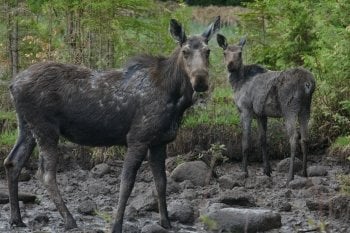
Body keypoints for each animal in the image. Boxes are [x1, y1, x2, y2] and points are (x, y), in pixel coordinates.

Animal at [3, 17, 219, 232]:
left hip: (26, 127)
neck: (176, 99)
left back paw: (16, 218)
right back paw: (69, 220)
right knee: (46, 174)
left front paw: (166, 222)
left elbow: (161, 183)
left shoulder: (160, 142)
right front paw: (116, 224)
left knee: (13, 162)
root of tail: (12, 85)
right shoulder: (138, 138)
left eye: (208, 51)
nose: (200, 81)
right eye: (185, 51)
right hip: (46, 129)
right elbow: (127, 183)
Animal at [216, 34, 314, 184]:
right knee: (305, 138)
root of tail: (308, 84)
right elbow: (263, 140)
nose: (230, 65)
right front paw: (267, 170)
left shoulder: (246, 110)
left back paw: (290, 177)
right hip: (305, 108)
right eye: (225, 53)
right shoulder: (261, 114)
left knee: (294, 137)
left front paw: (244, 171)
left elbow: (246, 142)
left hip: (289, 109)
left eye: (240, 53)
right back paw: (304, 173)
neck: (237, 84)